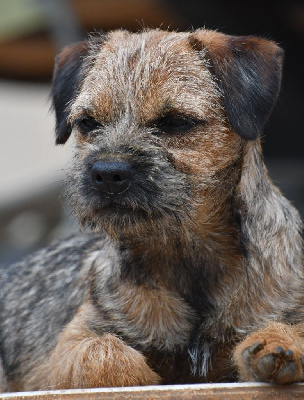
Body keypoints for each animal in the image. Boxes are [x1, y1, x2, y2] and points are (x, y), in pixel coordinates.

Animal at [0, 28, 302, 390]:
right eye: (87, 123)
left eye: (175, 122)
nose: (107, 172)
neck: (187, 258)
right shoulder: (69, 346)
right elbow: (106, 356)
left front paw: (278, 344)